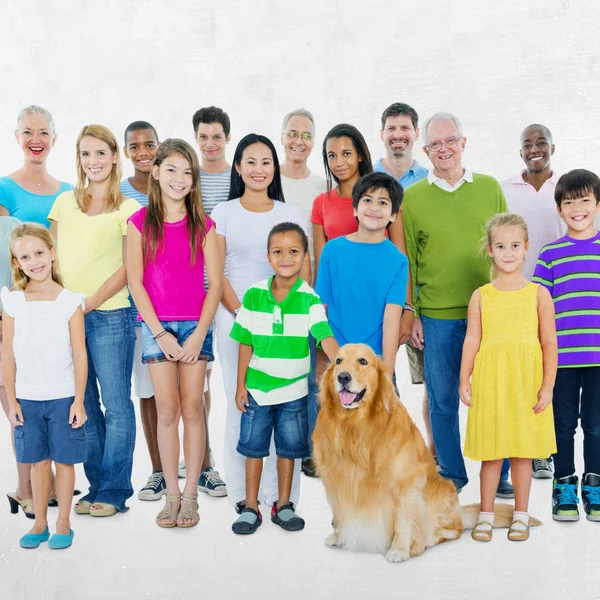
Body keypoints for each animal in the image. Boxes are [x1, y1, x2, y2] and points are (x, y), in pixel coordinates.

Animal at [312, 344, 540, 560]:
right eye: (338, 361)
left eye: (363, 361)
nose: (343, 376)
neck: (356, 428)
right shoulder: (339, 480)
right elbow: (342, 512)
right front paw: (339, 536)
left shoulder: (405, 483)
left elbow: (403, 521)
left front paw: (399, 550)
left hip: (440, 491)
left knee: (452, 529)